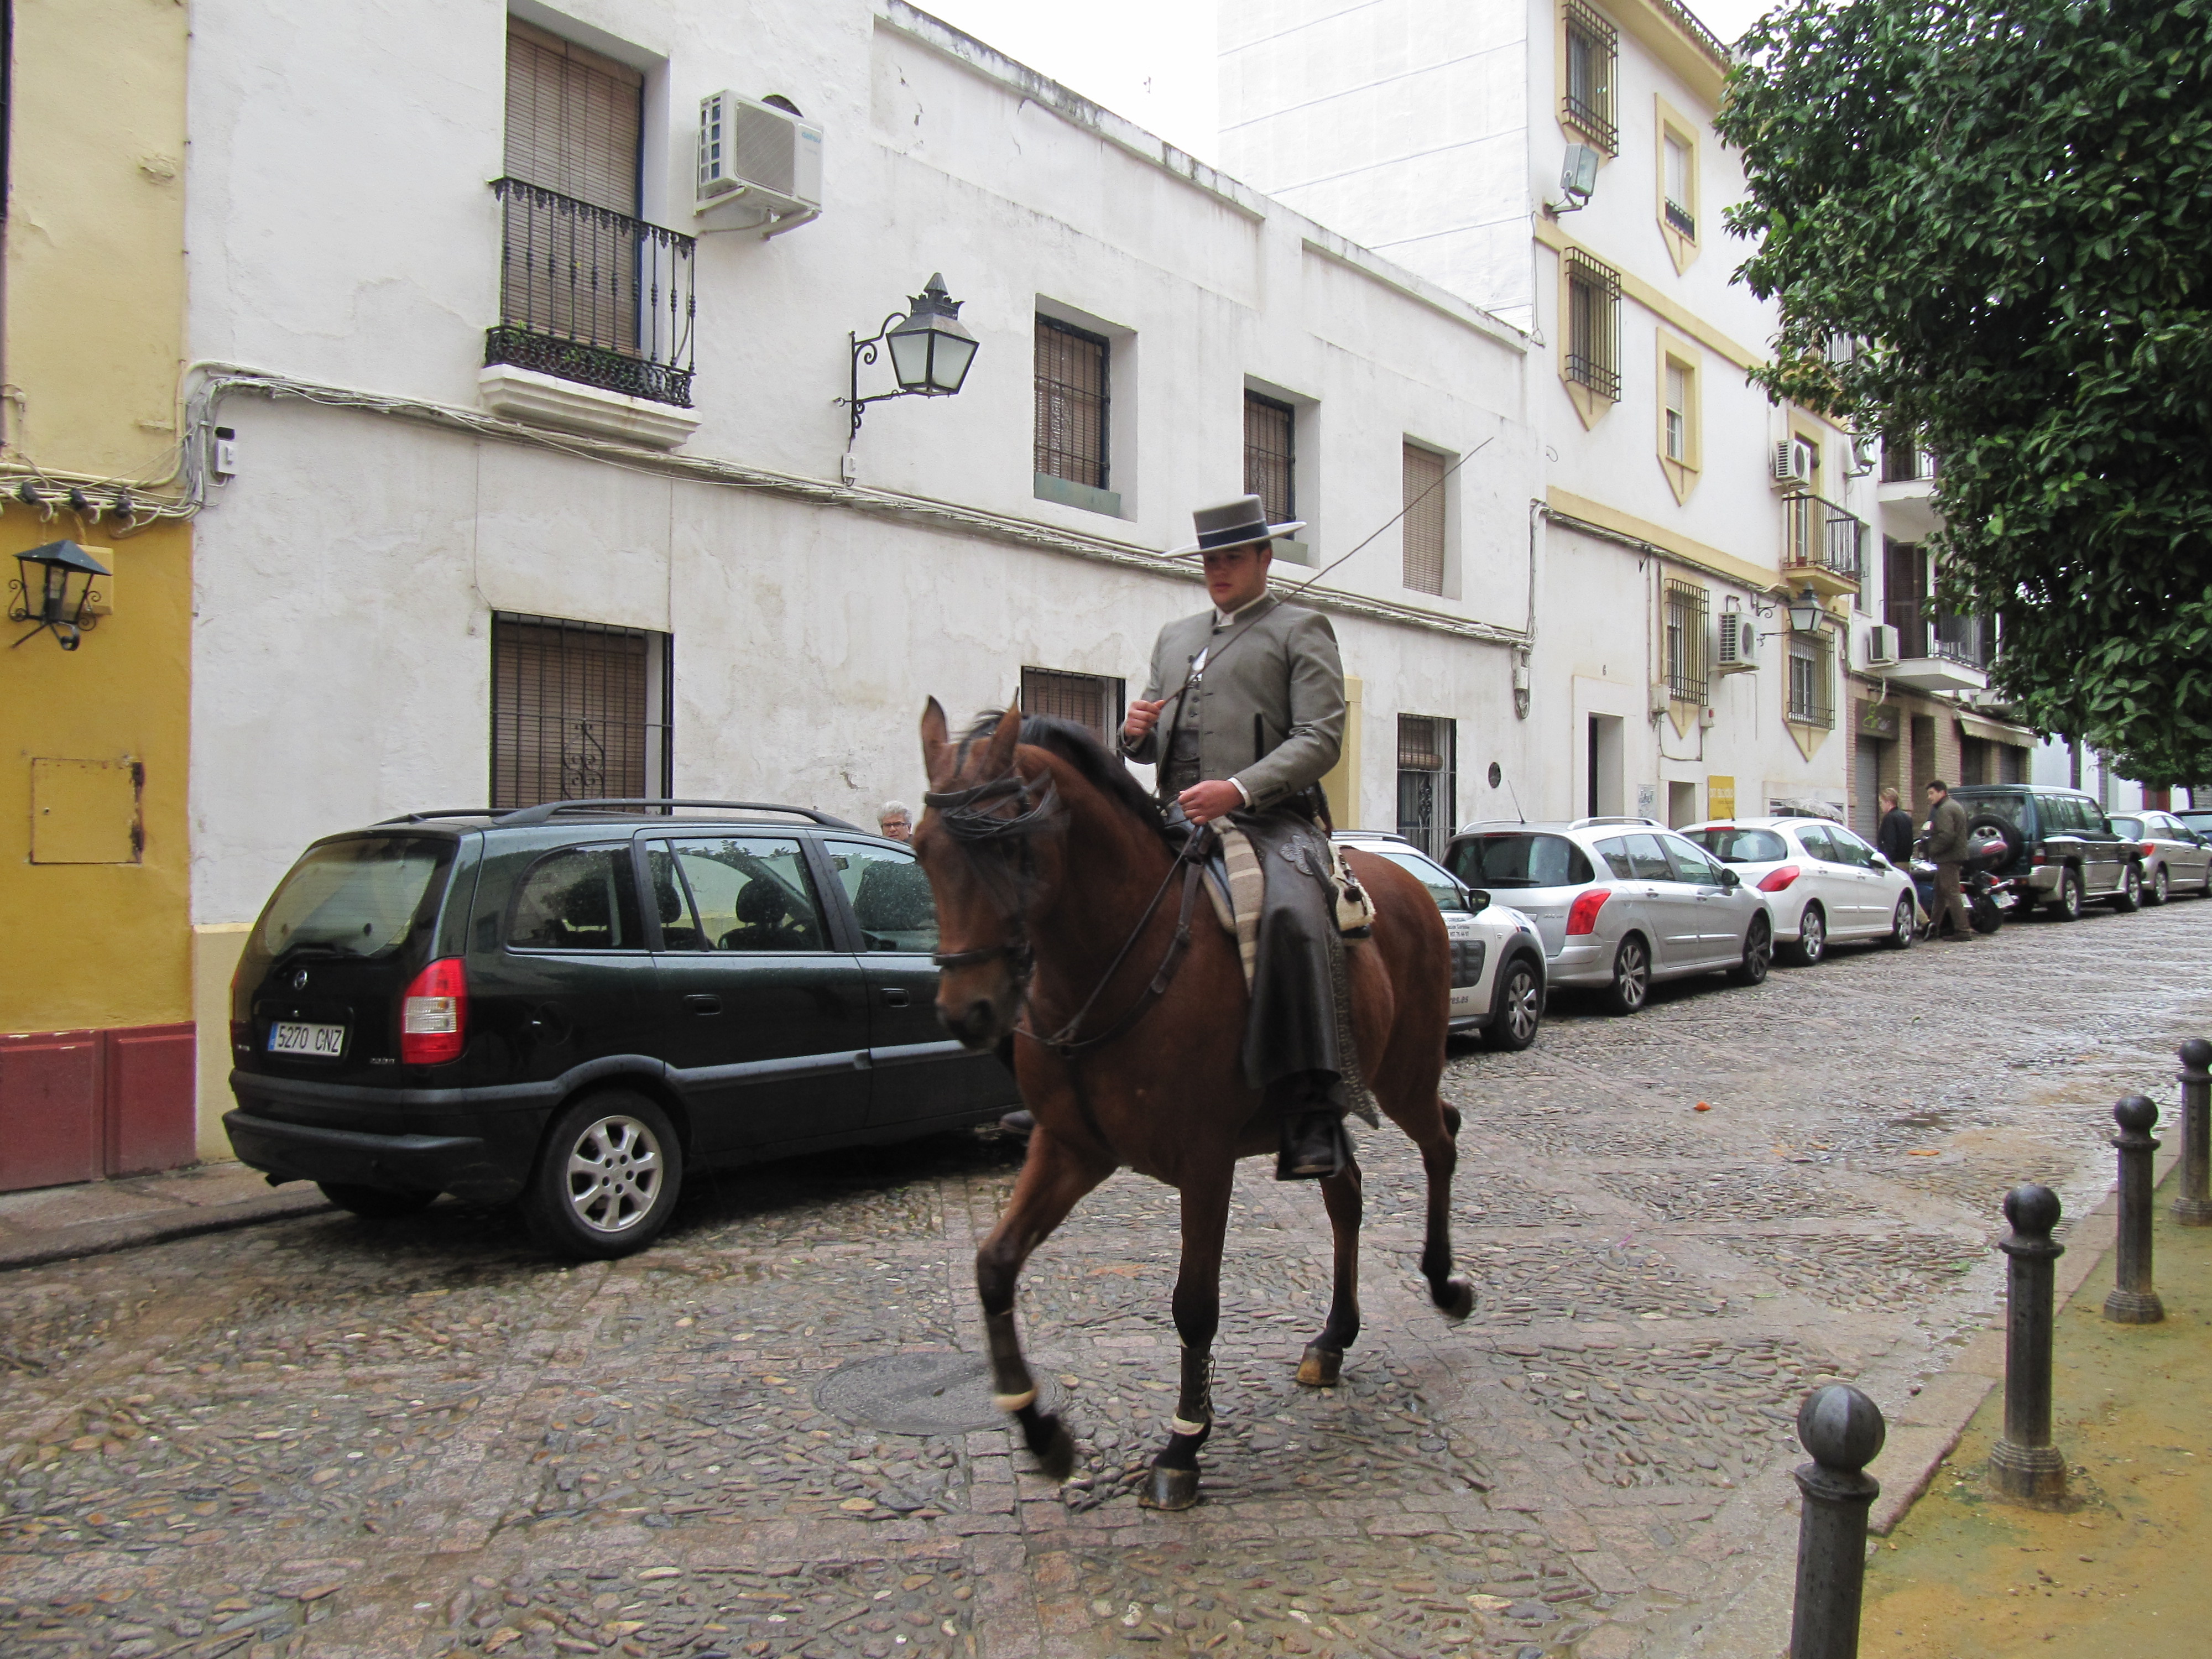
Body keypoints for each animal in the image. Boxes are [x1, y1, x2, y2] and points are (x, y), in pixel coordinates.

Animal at [913, 700, 1473, 1510]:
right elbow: (995, 1265)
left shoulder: (1205, 1163)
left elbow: (1194, 1303)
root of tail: (1413, 883)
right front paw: (1041, 1431)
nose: (968, 1012)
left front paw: (1183, 1444)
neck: (1115, 956)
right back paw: (1333, 1339)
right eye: (923, 851)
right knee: (1348, 1197)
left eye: (1012, 848)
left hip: (1404, 1075)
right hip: (1329, 1105)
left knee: (1442, 1142)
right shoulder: (1070, 1148)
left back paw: (1444, 1283)